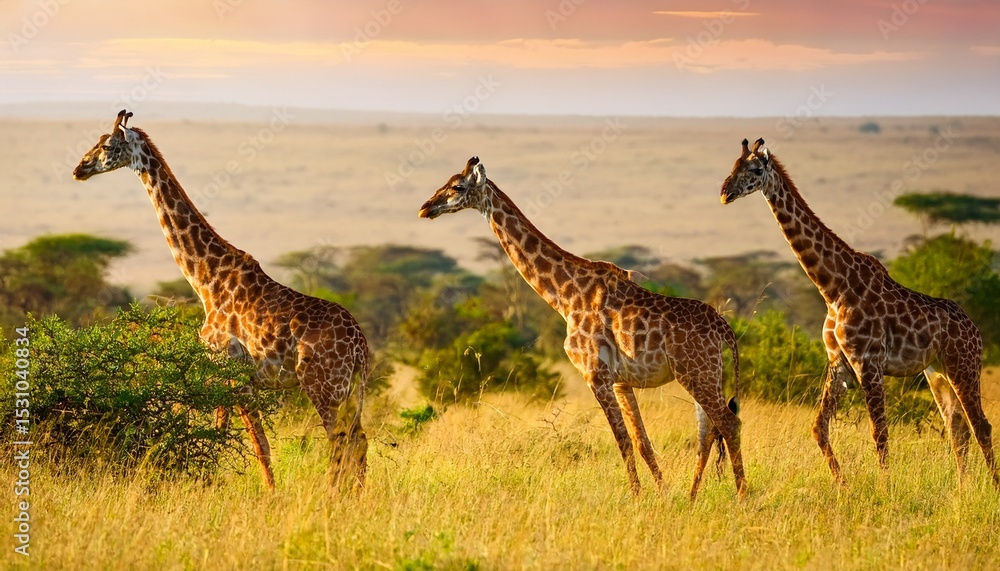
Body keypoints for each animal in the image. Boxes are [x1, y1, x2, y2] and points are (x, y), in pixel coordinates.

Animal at [73, 110, 370, 491]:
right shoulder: (230, 377)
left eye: (108, 145)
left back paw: (331, 495)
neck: (206, 280)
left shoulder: (226, 368)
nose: (79, 168)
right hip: (346, 389)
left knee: (341, 441)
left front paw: (263, 494)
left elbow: (252, 443)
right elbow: (238, 437)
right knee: (359, 440)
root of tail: (360, 344)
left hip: (322, 384)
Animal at [419, 157, 745, 499]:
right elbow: (642, 442)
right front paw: (663, 496)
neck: (565, 296)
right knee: (708, 432)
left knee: (728, 424)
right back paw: (693, 497)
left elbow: (623, 441)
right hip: (706, 375)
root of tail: (725, 329)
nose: (426, 208)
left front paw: (637, 497)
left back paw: (741, 497)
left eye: (457, 186)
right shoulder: (620, 381)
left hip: (696, 373)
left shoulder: (595, 375)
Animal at [720, 138, 997, 487]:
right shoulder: (839, 363)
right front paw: (842, 484)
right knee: (956, 426)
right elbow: (819, 427)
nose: (725, 193)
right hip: (937, 371)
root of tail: (976, 331)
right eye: (732, 166)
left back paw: (990, 485)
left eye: (756, 170)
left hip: (964, 366)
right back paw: (962, 488)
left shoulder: (868, 362)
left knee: (981, 425)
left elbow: (880, 432)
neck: (834, 288)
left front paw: (884, 488)